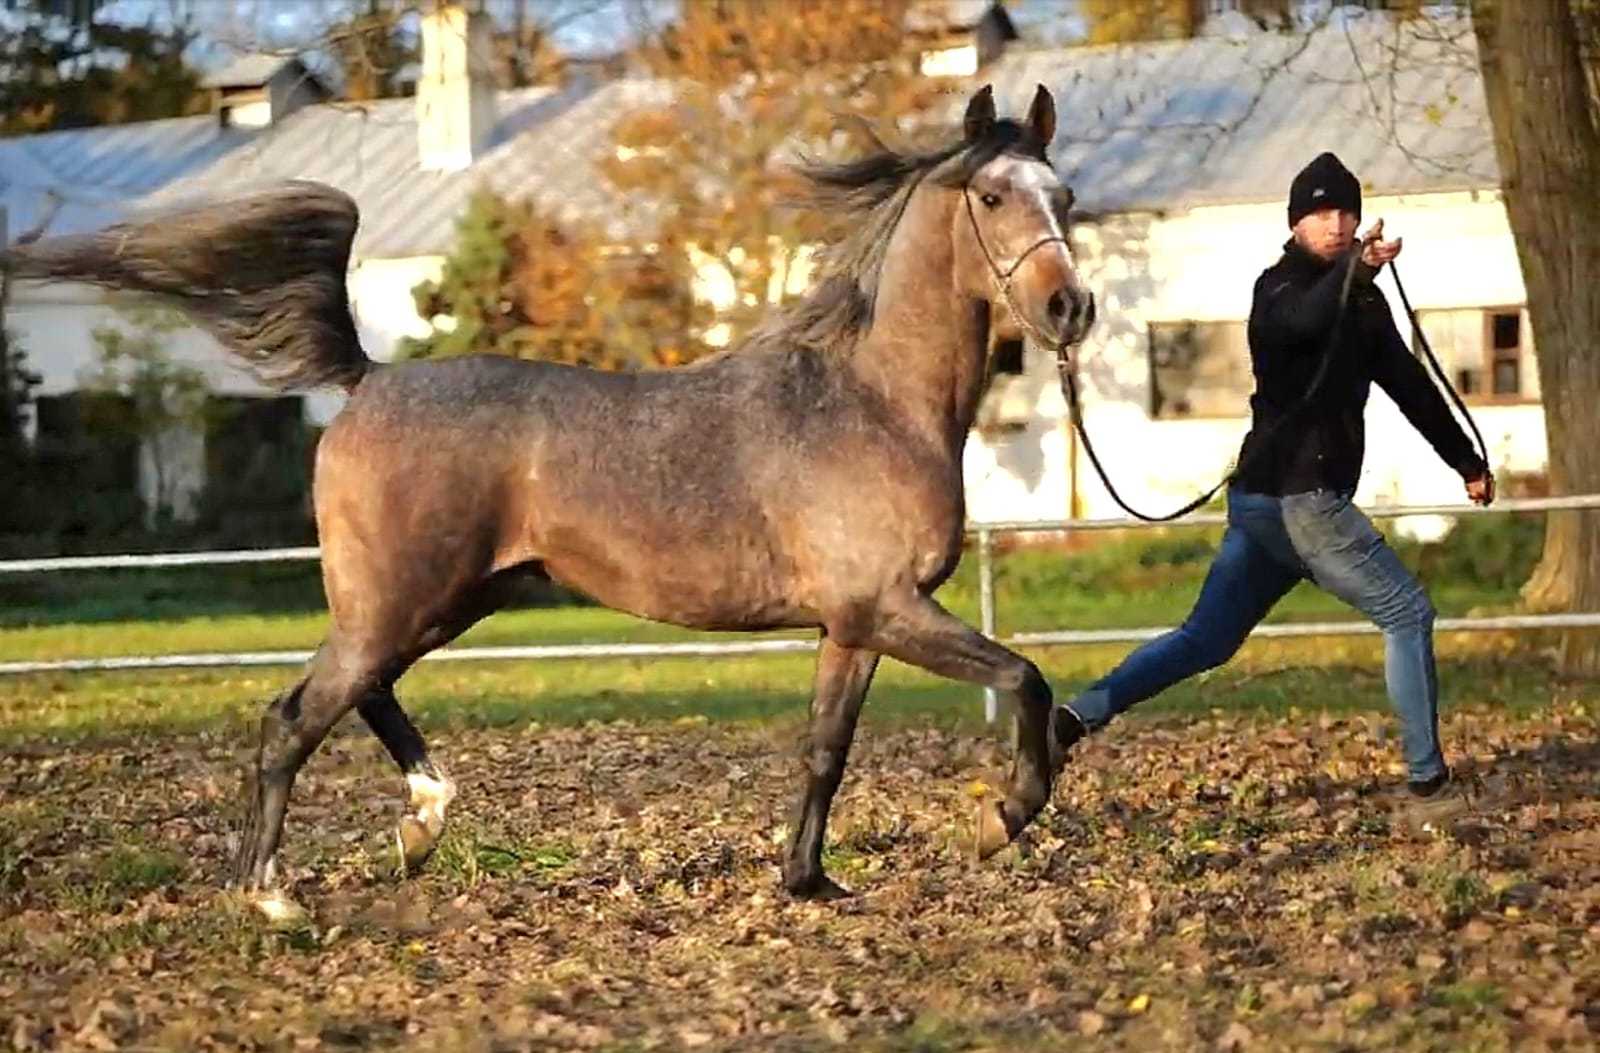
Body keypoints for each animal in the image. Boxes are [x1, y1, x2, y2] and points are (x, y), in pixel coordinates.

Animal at [4, 84, 1095, 907]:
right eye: (991, 197)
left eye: (1066, 194)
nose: (1068, 307)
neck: (871, 400)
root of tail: (366, 379)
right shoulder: (889, 606)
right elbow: (1025, 678)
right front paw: (1001, 819)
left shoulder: (853, 623)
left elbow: (825, 748)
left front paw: (808, 882)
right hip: (405, 598)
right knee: (294, 717)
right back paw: (268, 893)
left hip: (446, 599)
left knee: (363, 692)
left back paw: (421, 822)